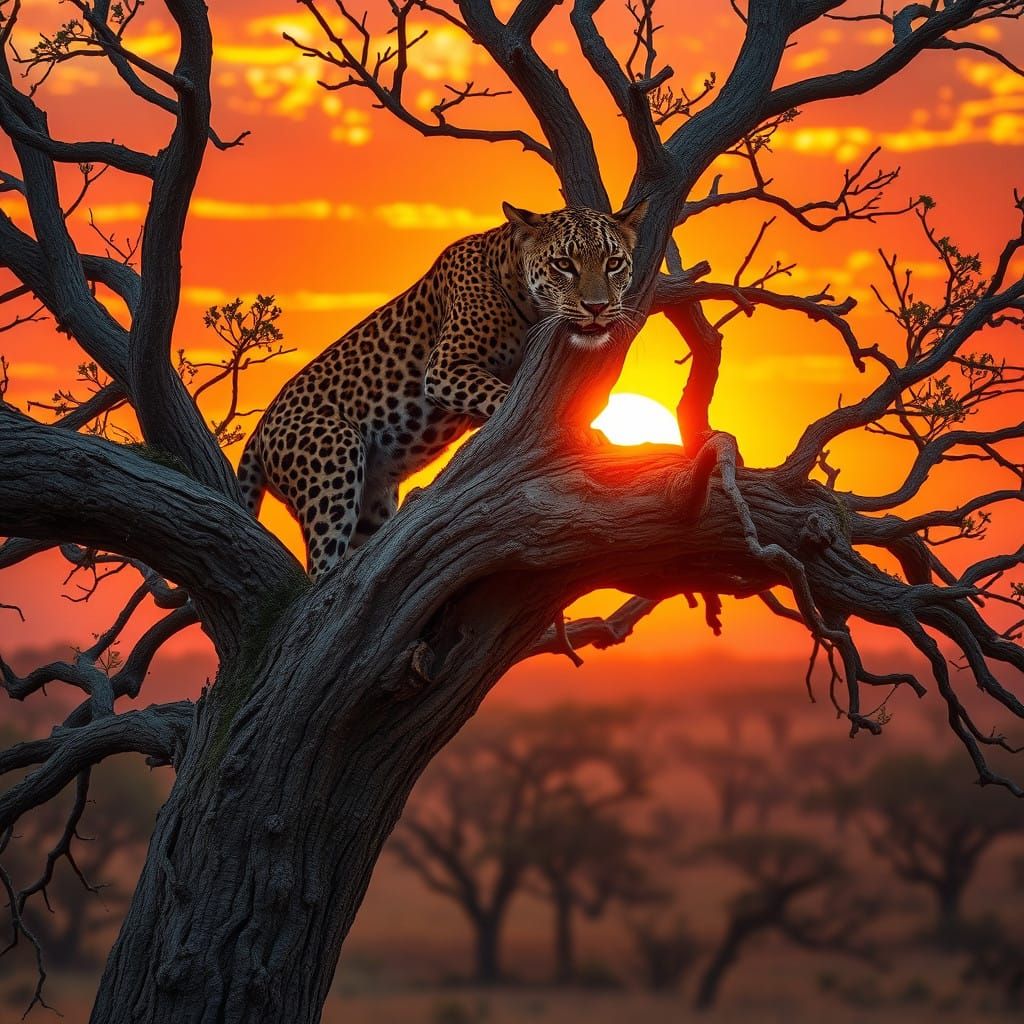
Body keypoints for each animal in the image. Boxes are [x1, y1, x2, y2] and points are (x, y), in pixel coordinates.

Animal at [237, 199, 648, 578]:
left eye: (613, 263)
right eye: (564, 264)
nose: (597, 307)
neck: (516, 284)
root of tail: (260, 431)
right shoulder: (444, 368)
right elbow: (502, 397)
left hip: (371, 506)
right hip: (333, 458)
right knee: (322, 570)